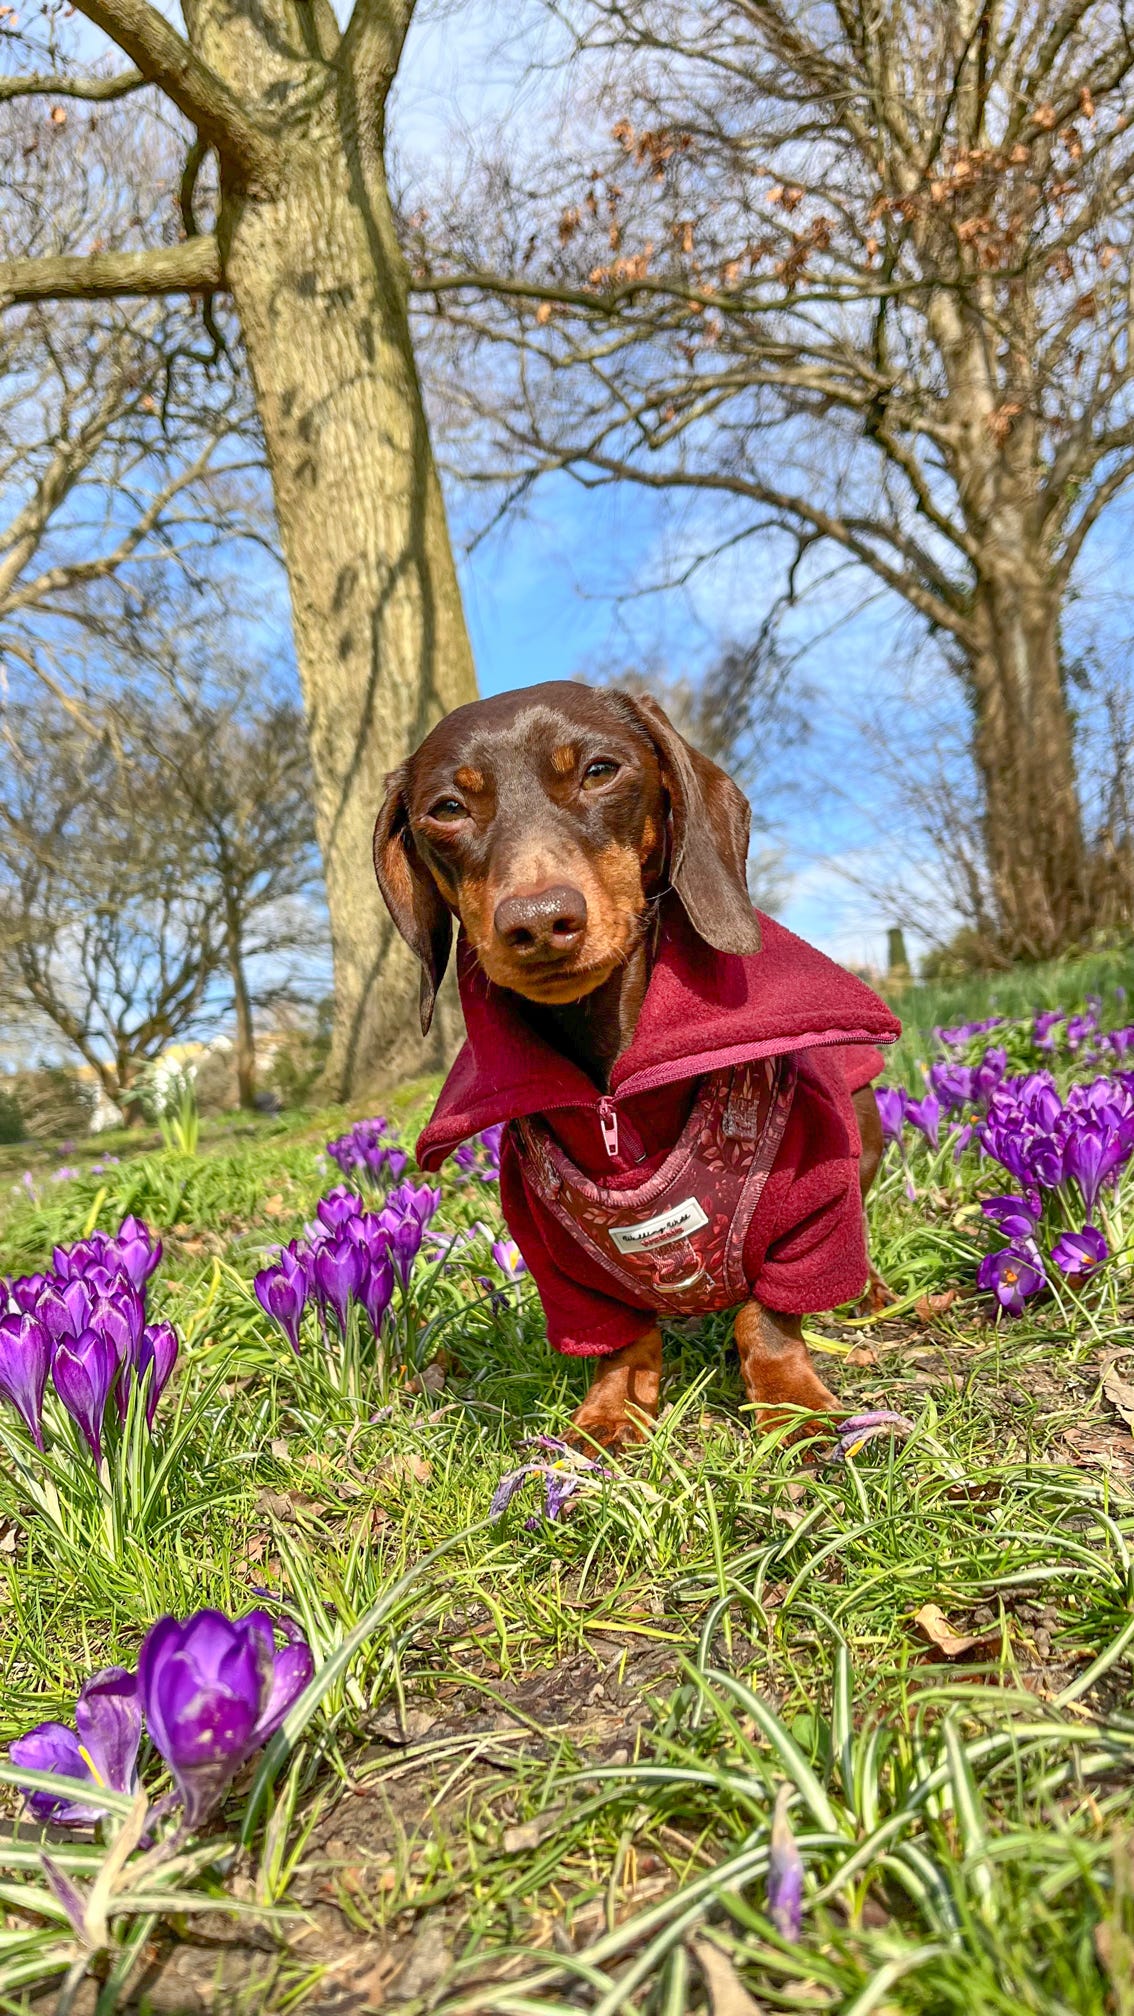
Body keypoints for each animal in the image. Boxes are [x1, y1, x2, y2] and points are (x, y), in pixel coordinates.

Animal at [375, 685, 895, 1443]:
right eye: (446, 809)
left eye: (599, 771)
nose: (538, 921)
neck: (612, 1086)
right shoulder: (558, 1261)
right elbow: (620, 1340)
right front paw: (612, 1413)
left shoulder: (813, 1204)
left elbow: (767, 1318)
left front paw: (792, 1406)